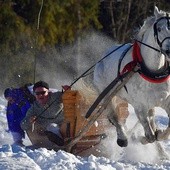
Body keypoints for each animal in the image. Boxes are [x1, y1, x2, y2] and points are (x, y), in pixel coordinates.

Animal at [75, 6, 170, 147]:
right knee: (113, 116)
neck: (152, 72)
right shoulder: (139, 106)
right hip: (108, 95)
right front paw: (141, 138)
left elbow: (164, 133)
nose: (169, 50)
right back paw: (123, 138)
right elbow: (150, 136)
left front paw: (159, 133)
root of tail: (103, 57)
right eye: (159, 29)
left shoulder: (166, 101)